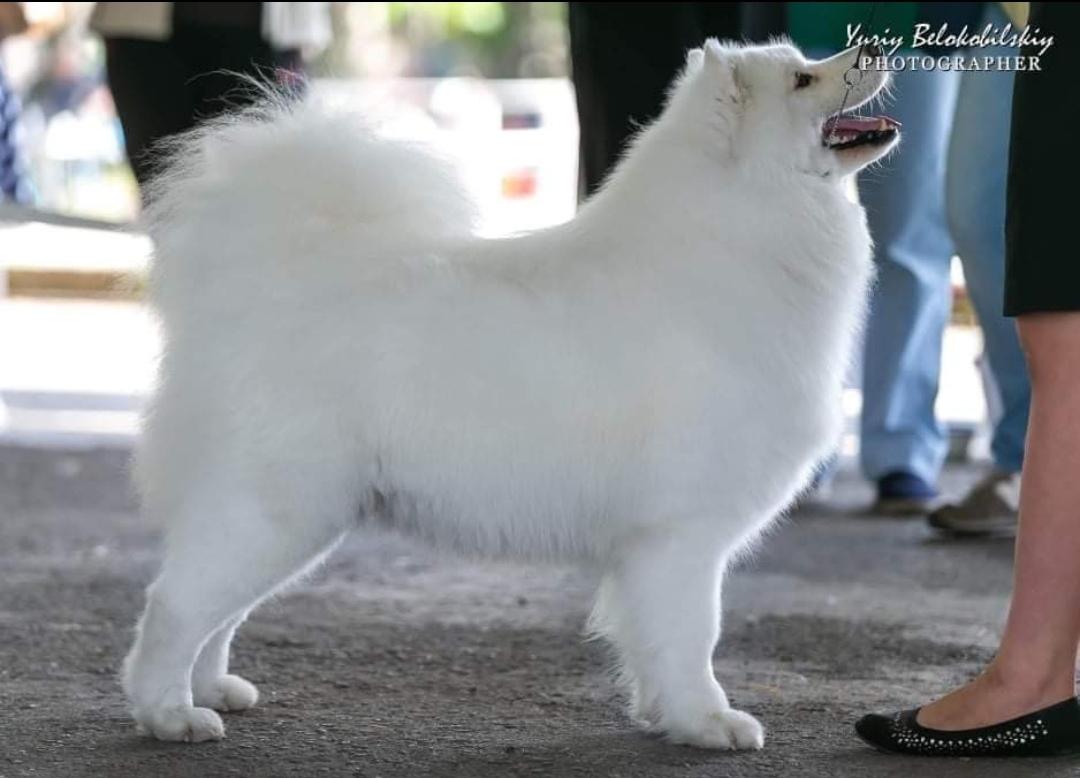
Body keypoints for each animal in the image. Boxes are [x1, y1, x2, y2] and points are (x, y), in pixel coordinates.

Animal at [120, 39, 894, 752]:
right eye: (804, 79)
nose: (877, 46)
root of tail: (255, 287)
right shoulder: (682, 532)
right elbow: (693, 635)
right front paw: (707, 722)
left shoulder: (655, 545)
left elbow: (655, 641)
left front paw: (662, 715)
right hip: (280, 507)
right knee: (176, 603)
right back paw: (170, 715)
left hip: (293, 517)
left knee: (218, 611)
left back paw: (213, 688)